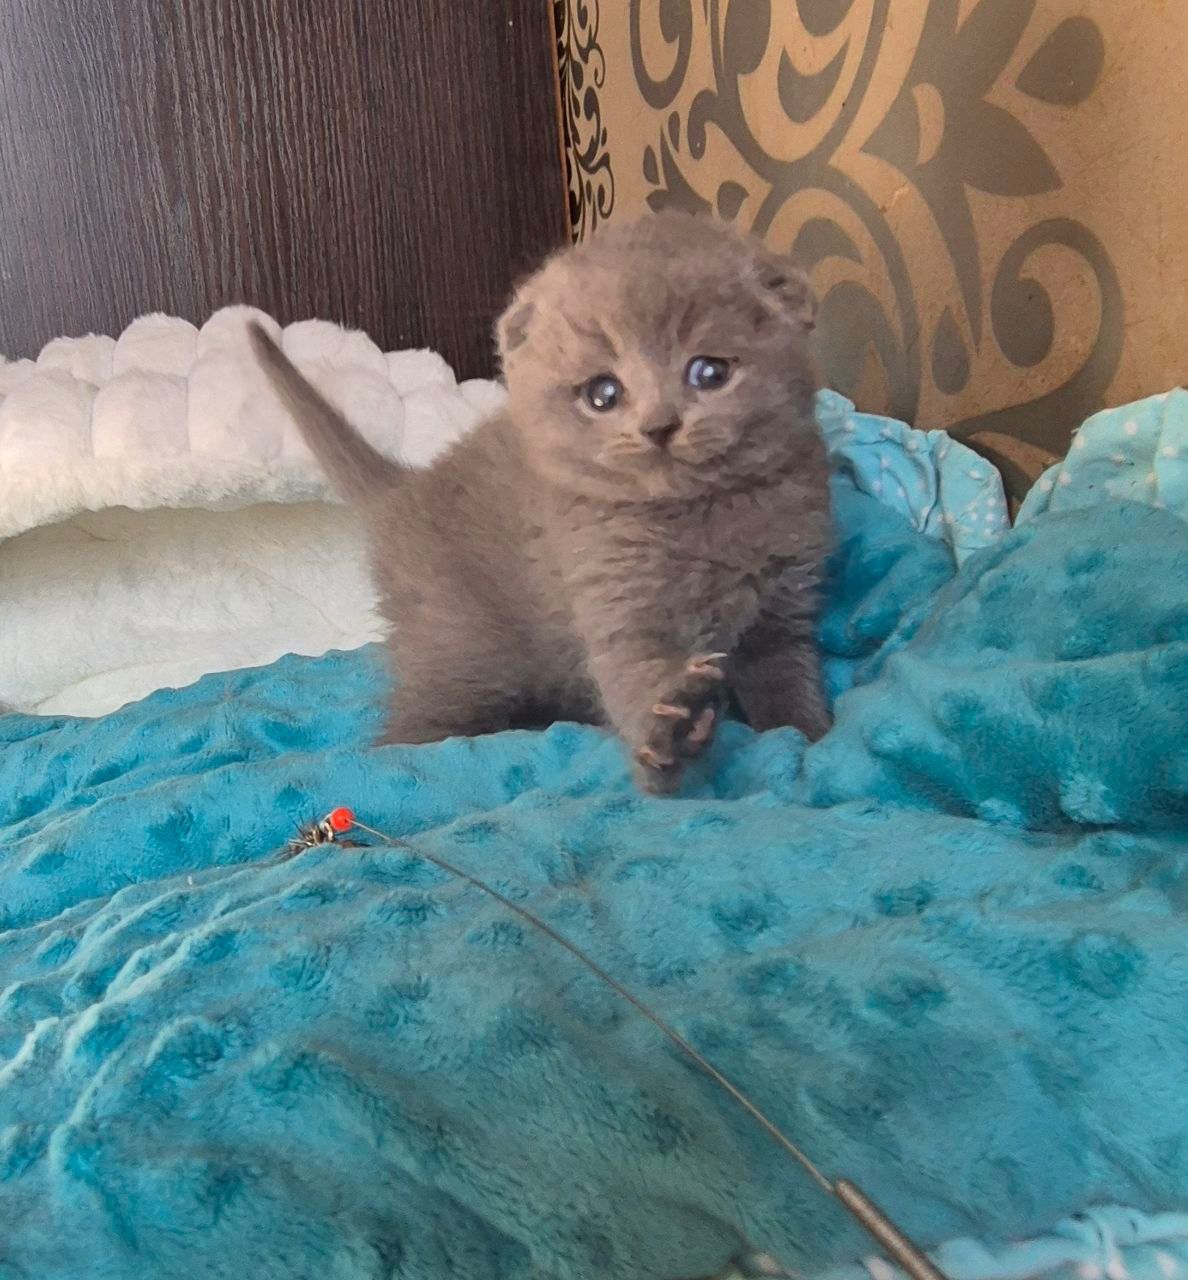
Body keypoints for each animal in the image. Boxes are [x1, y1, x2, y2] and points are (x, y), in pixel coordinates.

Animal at [250, 211, 831, 793]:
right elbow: (633, 676)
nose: (659, 427)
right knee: (411, 727)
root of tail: (404, 488)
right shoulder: (614, 602)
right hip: (460, 650)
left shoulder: (783, 608)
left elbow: (786, 683)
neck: (699, 518)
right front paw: (672, 737)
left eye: (710, 372)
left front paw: (812, 734)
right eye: (603, 393)